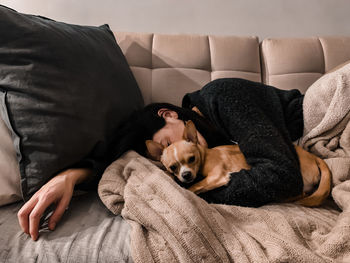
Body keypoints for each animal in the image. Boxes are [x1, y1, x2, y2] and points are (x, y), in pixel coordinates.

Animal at [146, 120, 332, 207]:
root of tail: (314, 157)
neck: (205, 156)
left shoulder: (216, 177)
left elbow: (194, 187)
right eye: (172, 167)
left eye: (192, 159)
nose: (185, 175)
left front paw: (189, 189)